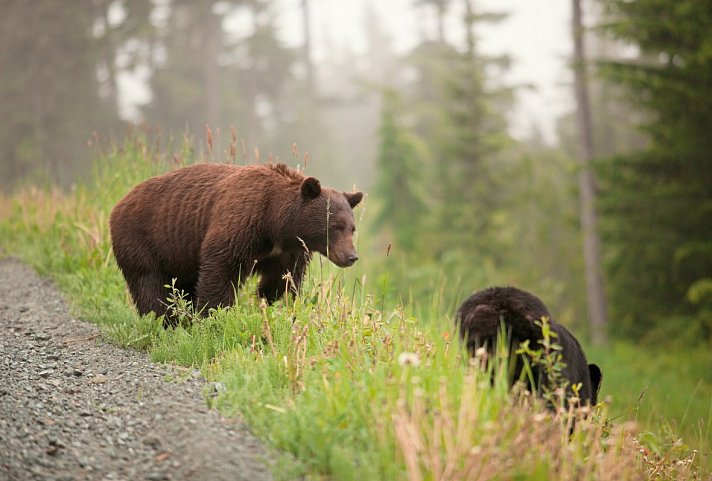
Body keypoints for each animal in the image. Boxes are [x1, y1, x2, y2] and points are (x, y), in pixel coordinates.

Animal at [108, 162, 364, 322]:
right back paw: (168, 320)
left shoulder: (288, 251)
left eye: (352, 228)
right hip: (142, 240)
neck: (276, 224)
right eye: (335, 227)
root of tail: (119, 204)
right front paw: (215, 314)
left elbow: (282, 280)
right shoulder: (242, 223)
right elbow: (221, 266)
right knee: (149, 284)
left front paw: (272, 305)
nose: (351, 256)